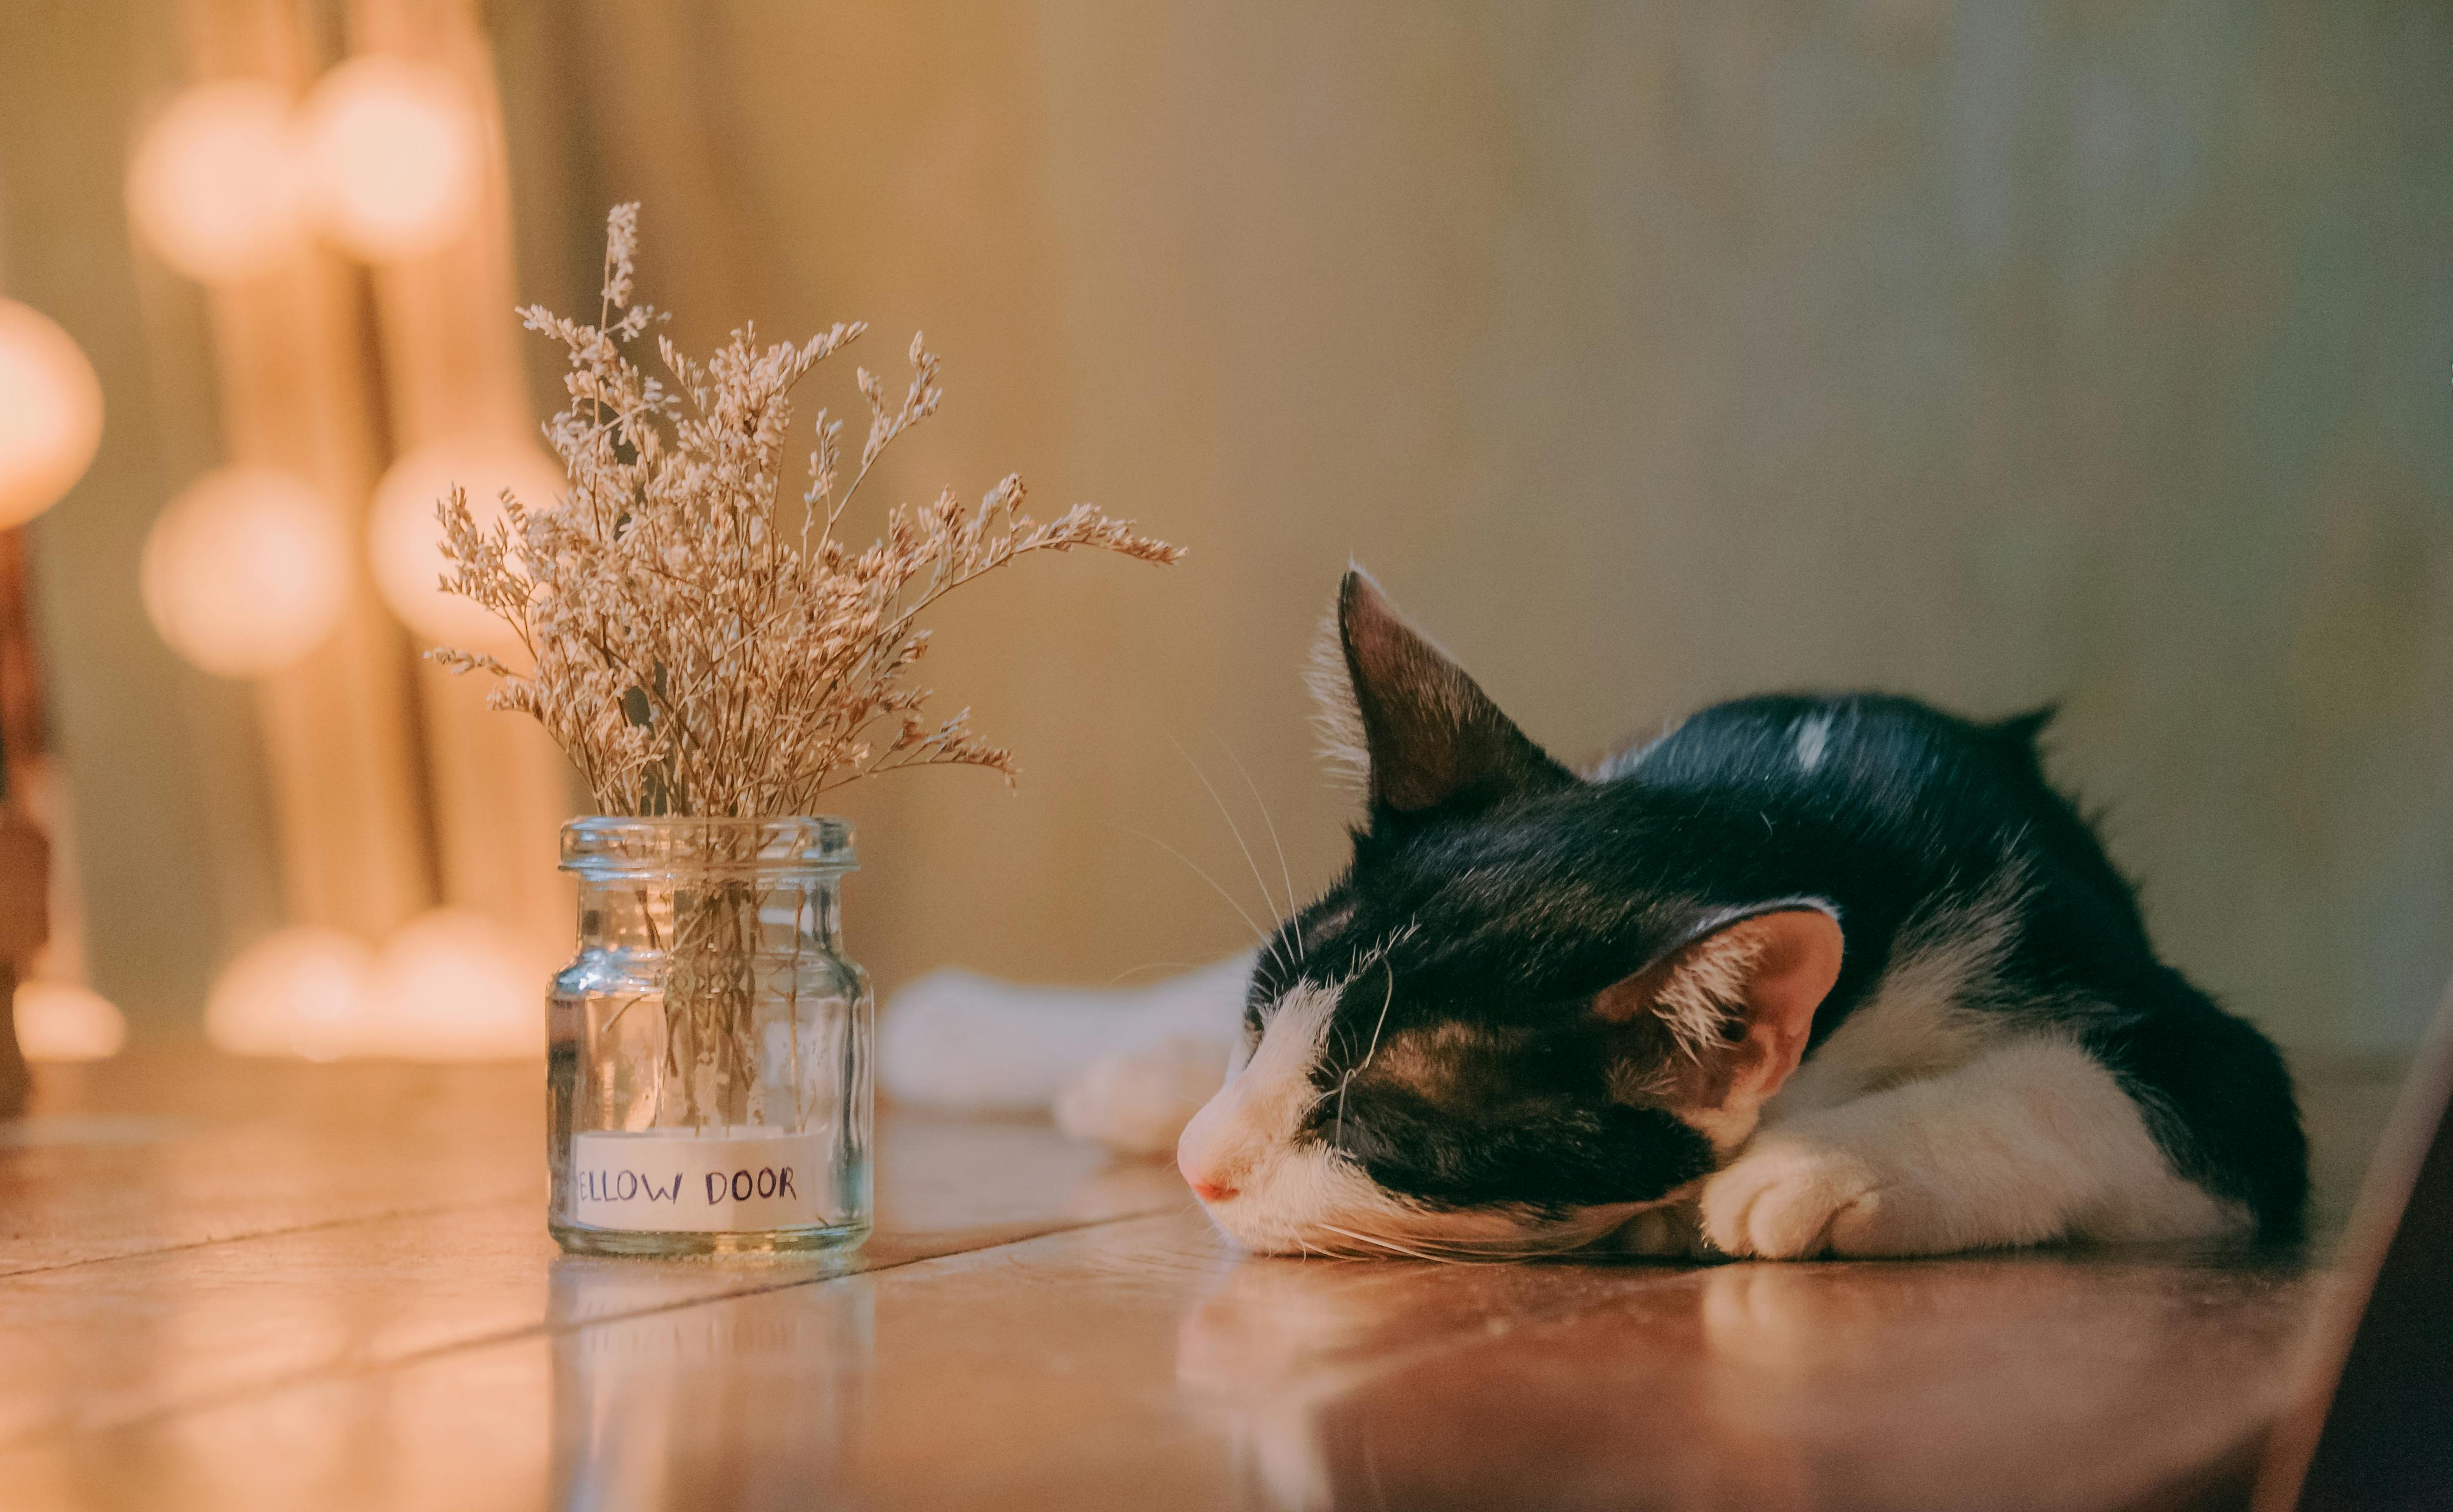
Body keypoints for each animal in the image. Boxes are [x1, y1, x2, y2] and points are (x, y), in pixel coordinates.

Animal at [892, 571, 2305, 1254]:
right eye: (1261, 1023)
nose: (1203, 1162)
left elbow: (2112, 1091)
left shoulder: (2182, 1042)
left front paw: (1809, 1167)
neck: (1788, 811)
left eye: (1372, 1120)